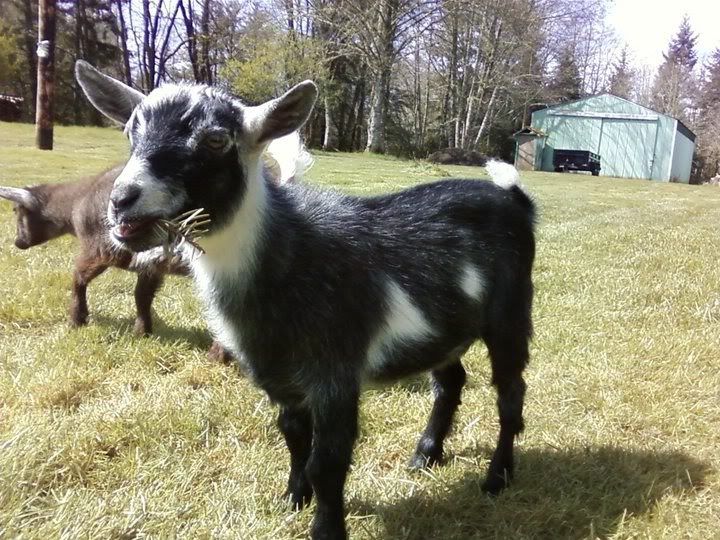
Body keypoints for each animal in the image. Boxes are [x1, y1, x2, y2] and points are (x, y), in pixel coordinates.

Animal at [76, 60, 536, 540]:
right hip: (444, 327)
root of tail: (515, 200)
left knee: (510, 393)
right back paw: (425, 455)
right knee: (450, 382)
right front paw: (294, 500)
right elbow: (294, 438)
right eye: (130, 131)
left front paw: (326, 528)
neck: (289, 257)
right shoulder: (280, 377)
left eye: (216, 140)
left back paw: (497, 477)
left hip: (510, 314)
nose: (122, 201)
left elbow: (328, 463)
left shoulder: (336, 373)